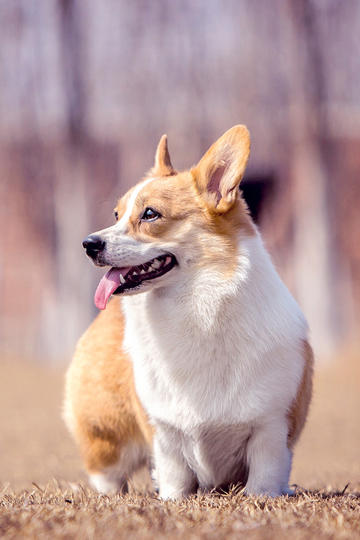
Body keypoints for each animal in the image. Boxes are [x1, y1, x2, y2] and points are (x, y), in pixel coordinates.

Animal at [64, 126, 312, 498]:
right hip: (108, 439)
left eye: (150, 214)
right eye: (116, 215)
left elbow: (264, 477)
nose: (88, 244)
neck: (196, 307)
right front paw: (171, 500)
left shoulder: (270, 427)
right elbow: (174, 475)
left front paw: (264, 496)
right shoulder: (165, 432)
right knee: (108, 475)